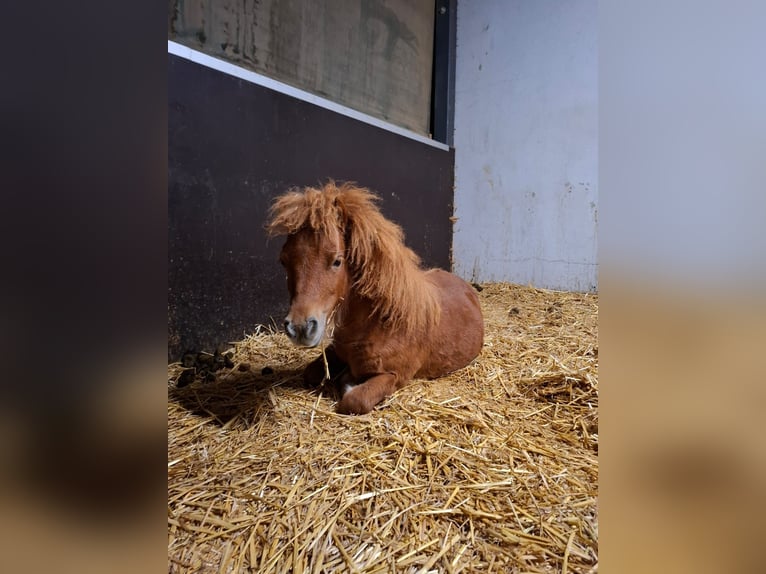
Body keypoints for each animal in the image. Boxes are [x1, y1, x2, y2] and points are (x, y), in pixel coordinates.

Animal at [270, 183, 486, 414]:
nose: (300, 328)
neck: (382, 322)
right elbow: (310, 373)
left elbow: (354, 400)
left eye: (337, 261)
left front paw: (348, 382)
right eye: (283, 260)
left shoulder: (394, 376)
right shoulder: (336, 351)